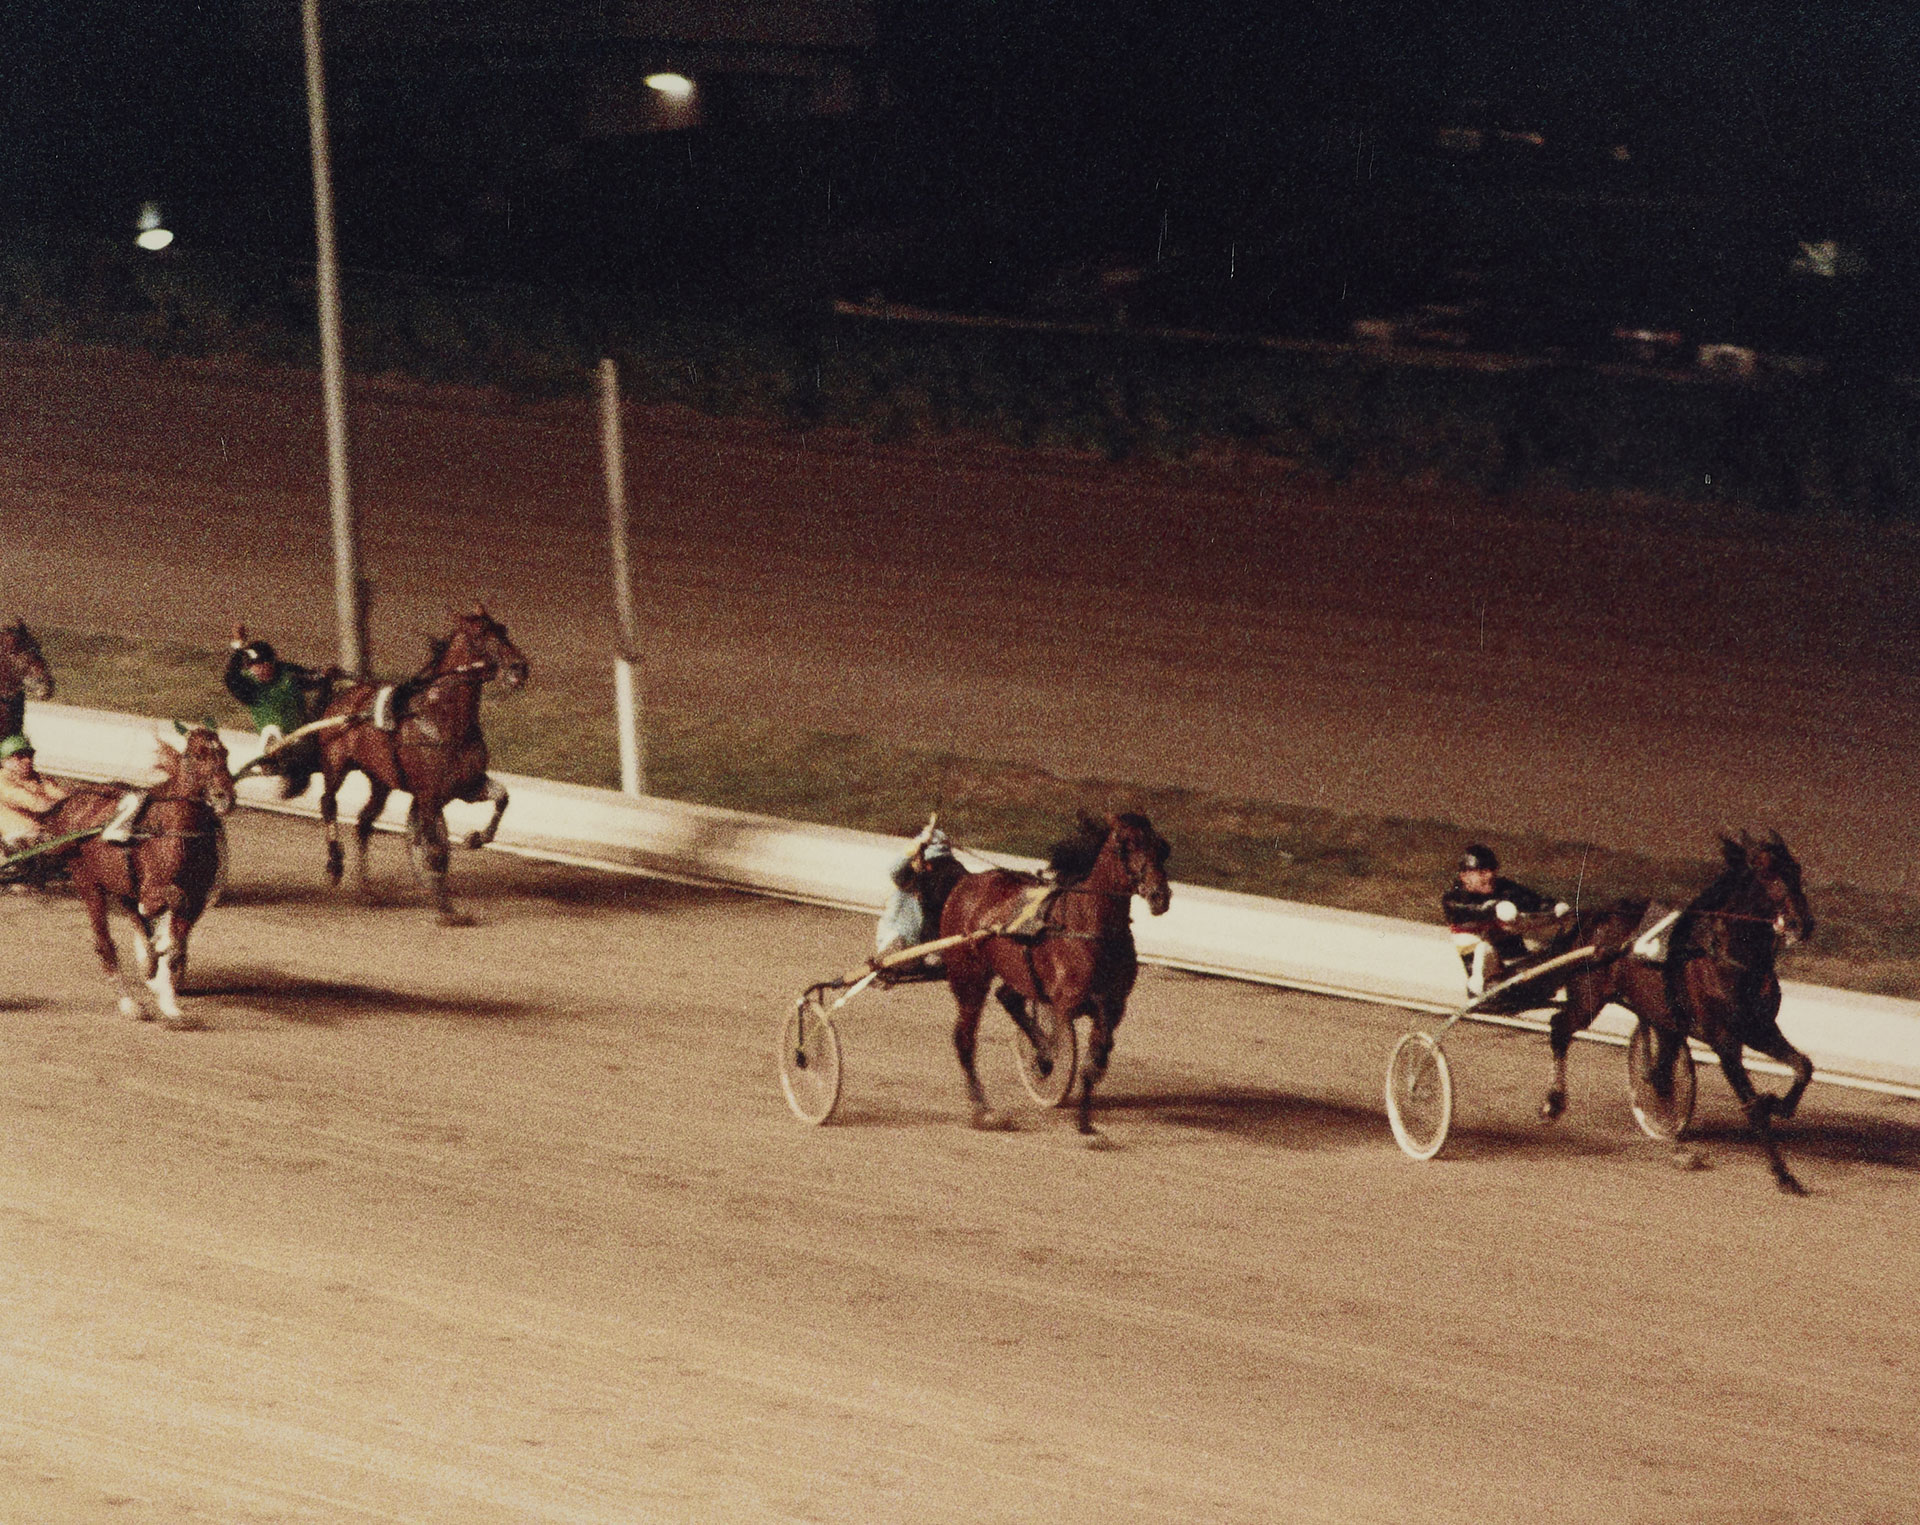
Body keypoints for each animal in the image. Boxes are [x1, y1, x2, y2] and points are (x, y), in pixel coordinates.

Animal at [42, 718, 236, 1029]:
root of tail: (76, 800)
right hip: (89, 884)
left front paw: (169, 1001)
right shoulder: (154, 889)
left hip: (119, 880)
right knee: (106, 944)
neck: (175, 830)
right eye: (197, 755)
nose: (223, 798)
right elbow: (166, 903)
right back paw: (130, 1004)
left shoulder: (197, 896)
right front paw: (156, 955)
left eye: (225, 753)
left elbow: (174, 942)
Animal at [314, 603, 529, 914]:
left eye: (503, 630)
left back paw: (367, 890)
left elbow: (502, 798)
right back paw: (334, 865)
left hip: (380, 780)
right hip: (336, 763)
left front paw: (476, 838)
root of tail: (345, 695)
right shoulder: (429, 795)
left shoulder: (467, 786)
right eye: (480, 635)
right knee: (328, 802)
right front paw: (445, 907)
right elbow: (435, 849)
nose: (519, 668)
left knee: (364, 822)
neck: (443, 720)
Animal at [933, 814, 1167, 1137]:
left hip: (1016, 972)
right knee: (965, 1040)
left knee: (1008, 997)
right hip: (969, 977)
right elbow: (1081, 1040)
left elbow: (1099, 1051)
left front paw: (1085, 1119)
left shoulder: (1116, 1003)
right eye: (1126, 845)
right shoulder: (1067, 1001)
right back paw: (983, 1111)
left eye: (1162, 846)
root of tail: (966, 883)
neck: (1089, 924)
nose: (1160, 896)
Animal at [1543, 833, 1812, 1190]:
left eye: (1797, 871)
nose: (1803, 924)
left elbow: (1802, 1067)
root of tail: (1593, 916)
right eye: (1769, 875)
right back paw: (1553, 1101)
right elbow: (1751, 1105)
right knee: (1560, 1026)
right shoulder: (1725, 1041)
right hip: (1588, 998)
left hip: (1657, 1012)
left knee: (1658, 1067)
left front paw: (1778, 1105)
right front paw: (1784, 1174)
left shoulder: (1760, 1029)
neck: (1725, 957)